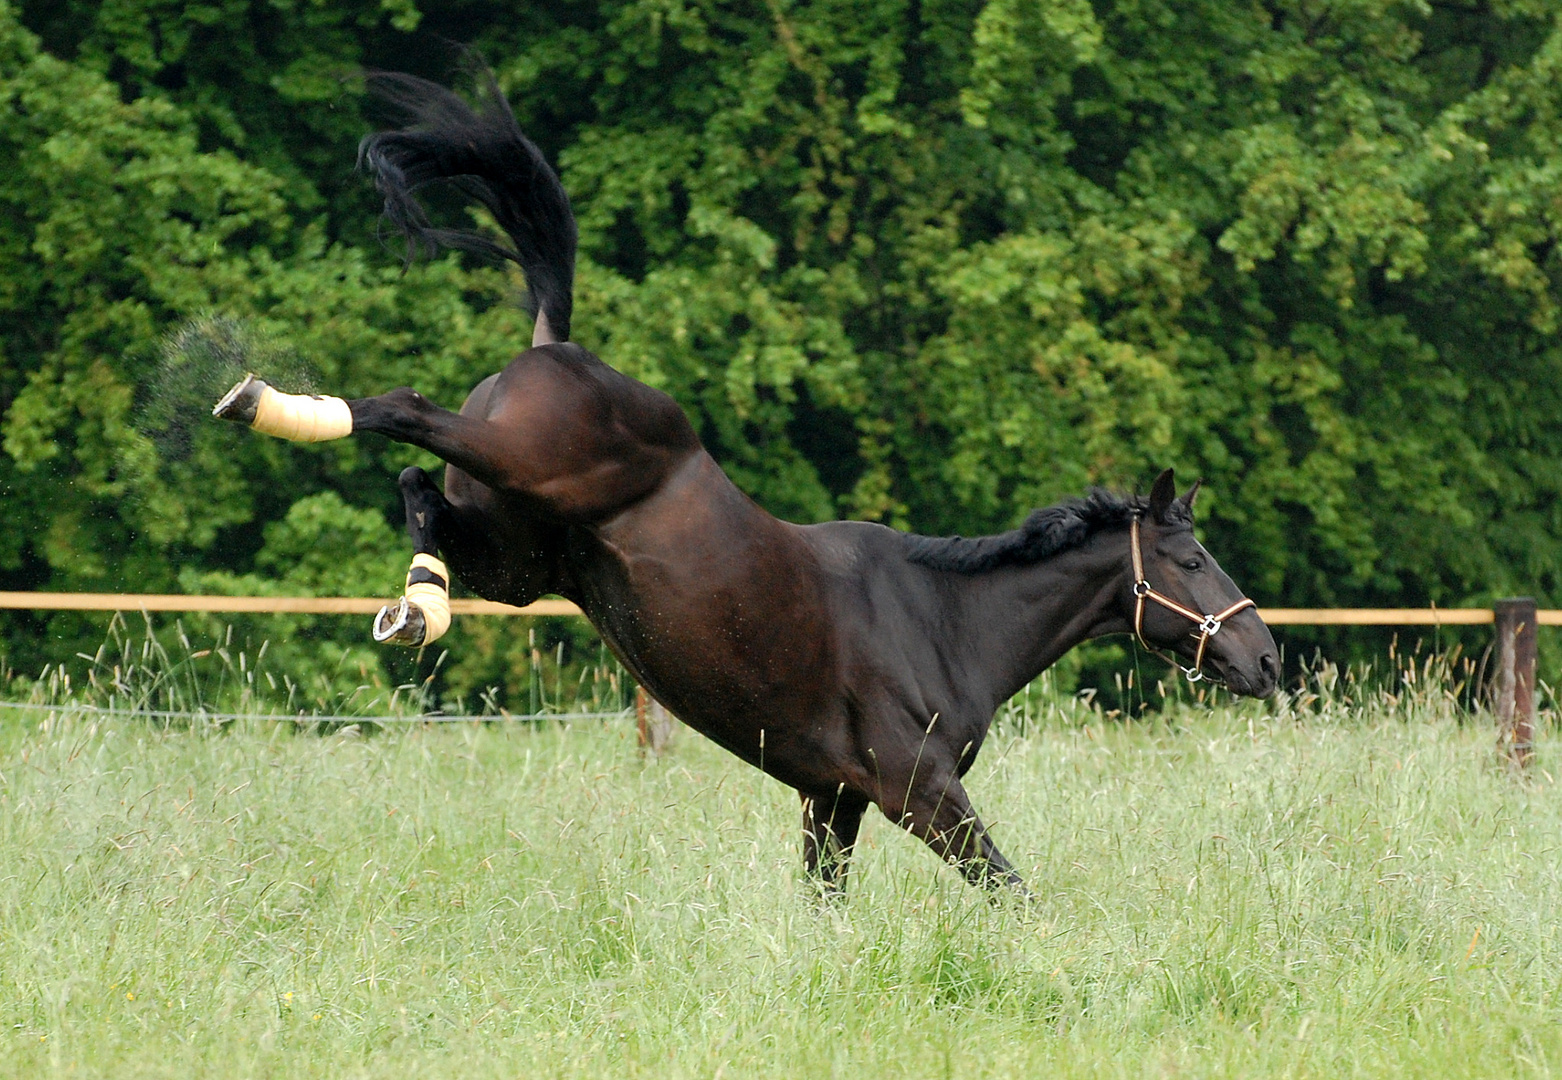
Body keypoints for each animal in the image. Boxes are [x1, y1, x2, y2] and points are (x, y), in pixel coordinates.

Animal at [213, 73, 1274, 894]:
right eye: (1191, 558)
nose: (1265, 659)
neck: (944, 620)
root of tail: (556, 347)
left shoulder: (832, 800)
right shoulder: (918, 794)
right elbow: (1012, 890)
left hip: (514, 555)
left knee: (419, 489)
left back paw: (417, 606)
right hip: (522, 473)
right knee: (401, 409)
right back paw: (262, 400)